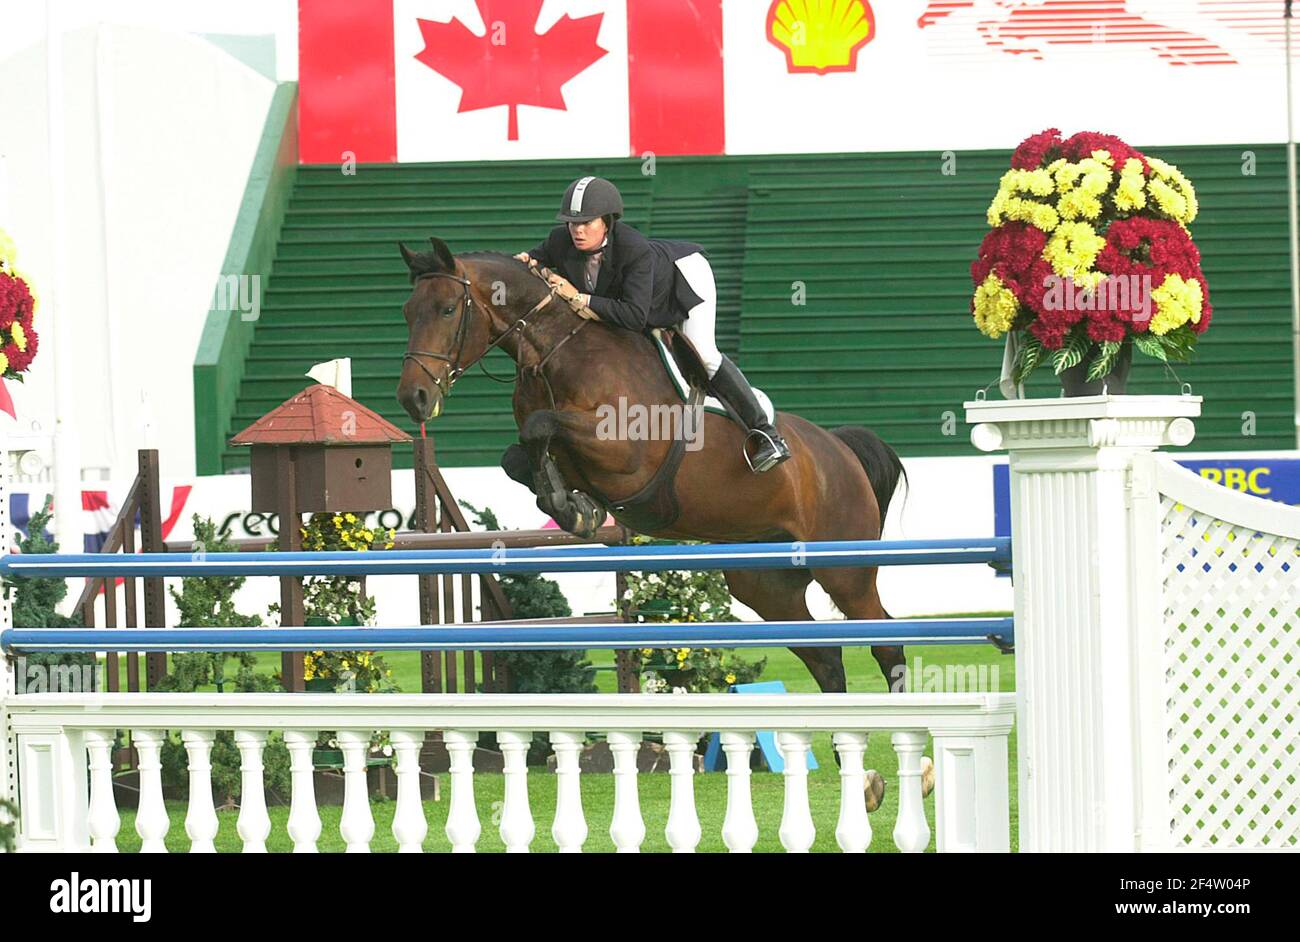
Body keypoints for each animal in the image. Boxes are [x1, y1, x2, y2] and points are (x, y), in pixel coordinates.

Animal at [390, 242, 909, 696]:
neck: (556, 354)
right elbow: (520, 455)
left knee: (885, 641)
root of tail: (840, 450)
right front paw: (577, 507)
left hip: (844, 568)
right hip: (766, 581)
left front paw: (572, 507)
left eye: (447, 311)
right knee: (825, 656)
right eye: (408, 312)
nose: (414, 397)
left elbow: (542, 428)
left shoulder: (625, 452)